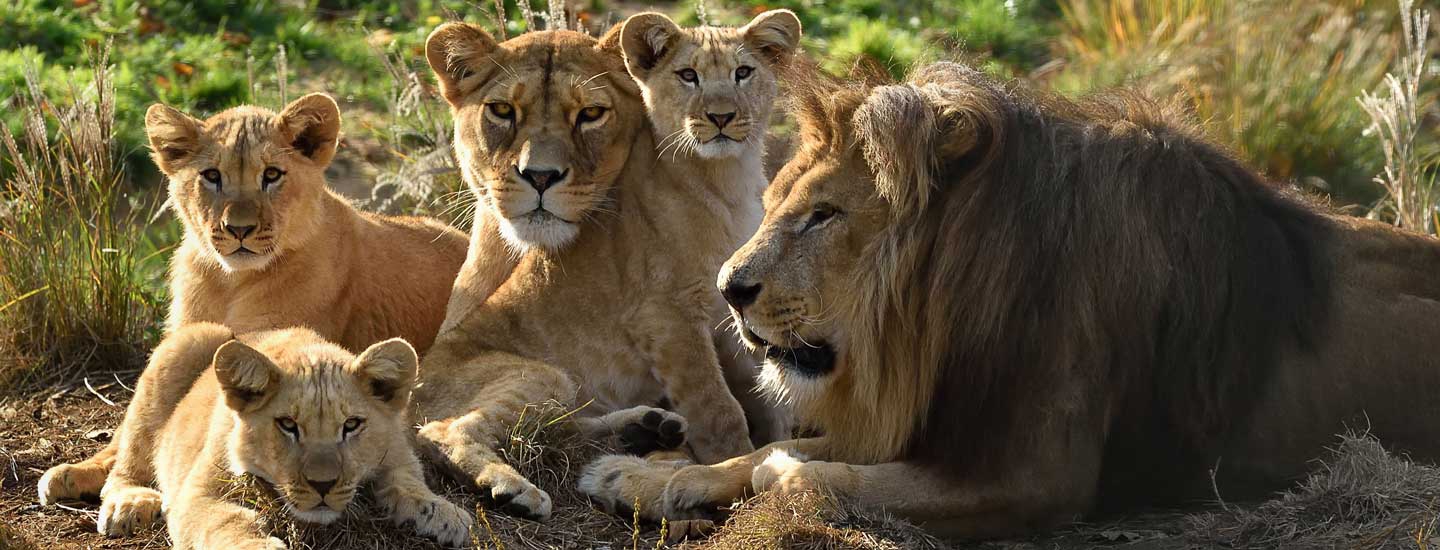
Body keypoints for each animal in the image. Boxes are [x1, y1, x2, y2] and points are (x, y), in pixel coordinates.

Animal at [38, 94, 469, 508]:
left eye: (272, 175)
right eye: (212, 176)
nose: (239, 229)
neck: (228, 280)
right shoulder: (180, 334)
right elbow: (135, 420)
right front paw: (84, 469)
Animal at [50, 323, 472, 548]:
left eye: (351, 425)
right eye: (287, 425)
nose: (322, 485)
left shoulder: (397, 448)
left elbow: (408, 482)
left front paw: (445, 513)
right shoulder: (196, 495)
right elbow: (225, 523)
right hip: (190, 340)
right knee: (124, 467)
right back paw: (130, 503)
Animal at [410, 18, 800, 520]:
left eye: (743, 74)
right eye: (688, 76)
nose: (721, 115)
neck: (728, 179)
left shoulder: (730, 313)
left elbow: (763, 393)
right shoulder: (665, 316)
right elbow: (719, 408)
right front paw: (729, 466)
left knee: (557, 431)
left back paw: (645, 428)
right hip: (544, 375)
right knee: (444, 431)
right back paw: (510, 489)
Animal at [579, 61, 1440, 539]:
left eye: (824, 215)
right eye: (775, 202)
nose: (728, 291)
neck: (938, 312)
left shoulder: (1030, 476)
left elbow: (797, 471)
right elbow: (762, 453)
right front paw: (639, 478)